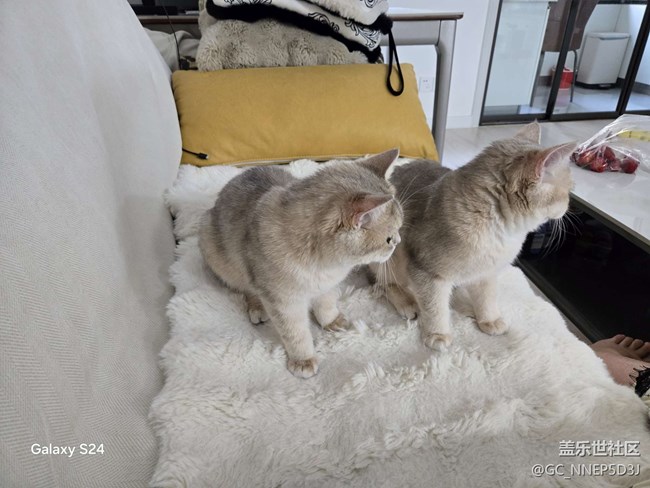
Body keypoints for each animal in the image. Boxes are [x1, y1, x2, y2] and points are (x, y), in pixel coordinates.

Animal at [199, 149, 403, 378]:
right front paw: (303, 359)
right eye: (388, 239)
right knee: (246, 287)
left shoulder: (327, 286)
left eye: (399, 230)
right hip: (221, 256)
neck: (325, 266)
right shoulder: (284, 302)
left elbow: (326, 305)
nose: (398, 242)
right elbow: (295, 333)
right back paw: (257, 306)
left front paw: (331, 321)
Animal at [370, 123, 576, 350]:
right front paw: (437, 333)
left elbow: (487, 298)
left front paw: (489, 319)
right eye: (568, 190)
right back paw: (407, 302)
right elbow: (434, 306)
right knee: (384, 285)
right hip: (392, 258)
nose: (569, 206)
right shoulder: (426, 272)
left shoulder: (487, 272)